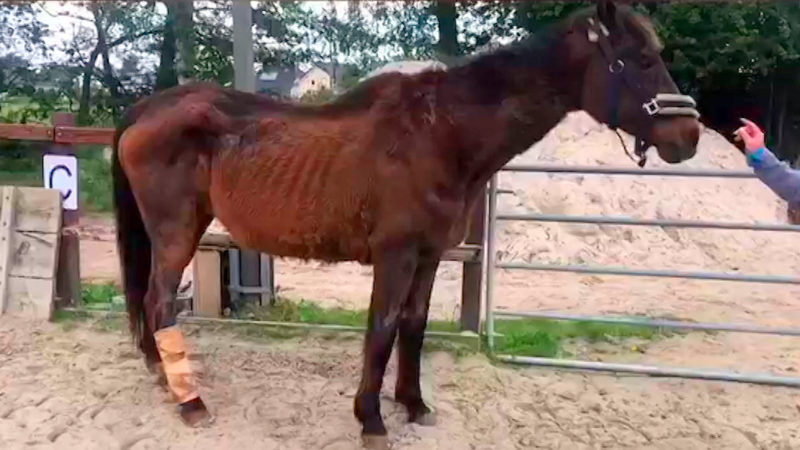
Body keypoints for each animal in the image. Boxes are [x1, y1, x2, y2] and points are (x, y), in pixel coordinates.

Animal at [111, 2, 700, 446]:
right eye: (640, 60)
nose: (689, 138)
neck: (440, 134)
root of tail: (148, 108)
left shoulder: (430, 255)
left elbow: (414, 327)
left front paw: (413, 404)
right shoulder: (394, 257)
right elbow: (382, 329)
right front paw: (371, 420)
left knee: (151, 305)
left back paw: (165, 378)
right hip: (177, 233)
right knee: (160, 302)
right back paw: (190, 402)